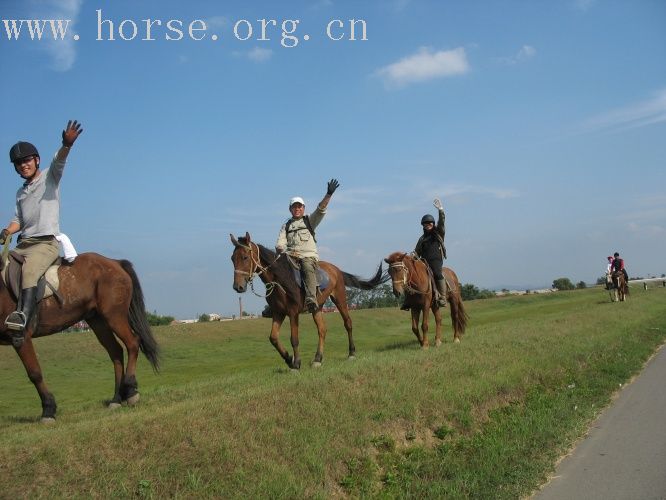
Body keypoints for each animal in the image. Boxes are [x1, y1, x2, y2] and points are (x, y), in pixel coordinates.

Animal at [0, 250, 160, 422]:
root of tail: (115, 262)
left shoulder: (21, 336)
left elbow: (34, 373)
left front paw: (48, 410)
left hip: (114, 316)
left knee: (132, 343)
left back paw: (131, 391)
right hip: (97, 320)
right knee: (116, 352)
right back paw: (116, 399)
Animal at [230, 232, 386, 370]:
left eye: (245, 257)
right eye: (232, 258)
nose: (238, 287)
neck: (281, 280)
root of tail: (336, 269)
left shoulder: (293, 312)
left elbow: (294, 339)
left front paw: (296, 363)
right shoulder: (278, 313)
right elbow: (273, 338)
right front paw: (289, 359)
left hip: (340, 298)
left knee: (348, 323)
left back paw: (352, 353)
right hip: (317, 307)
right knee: (322, 330)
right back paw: (318, 359)